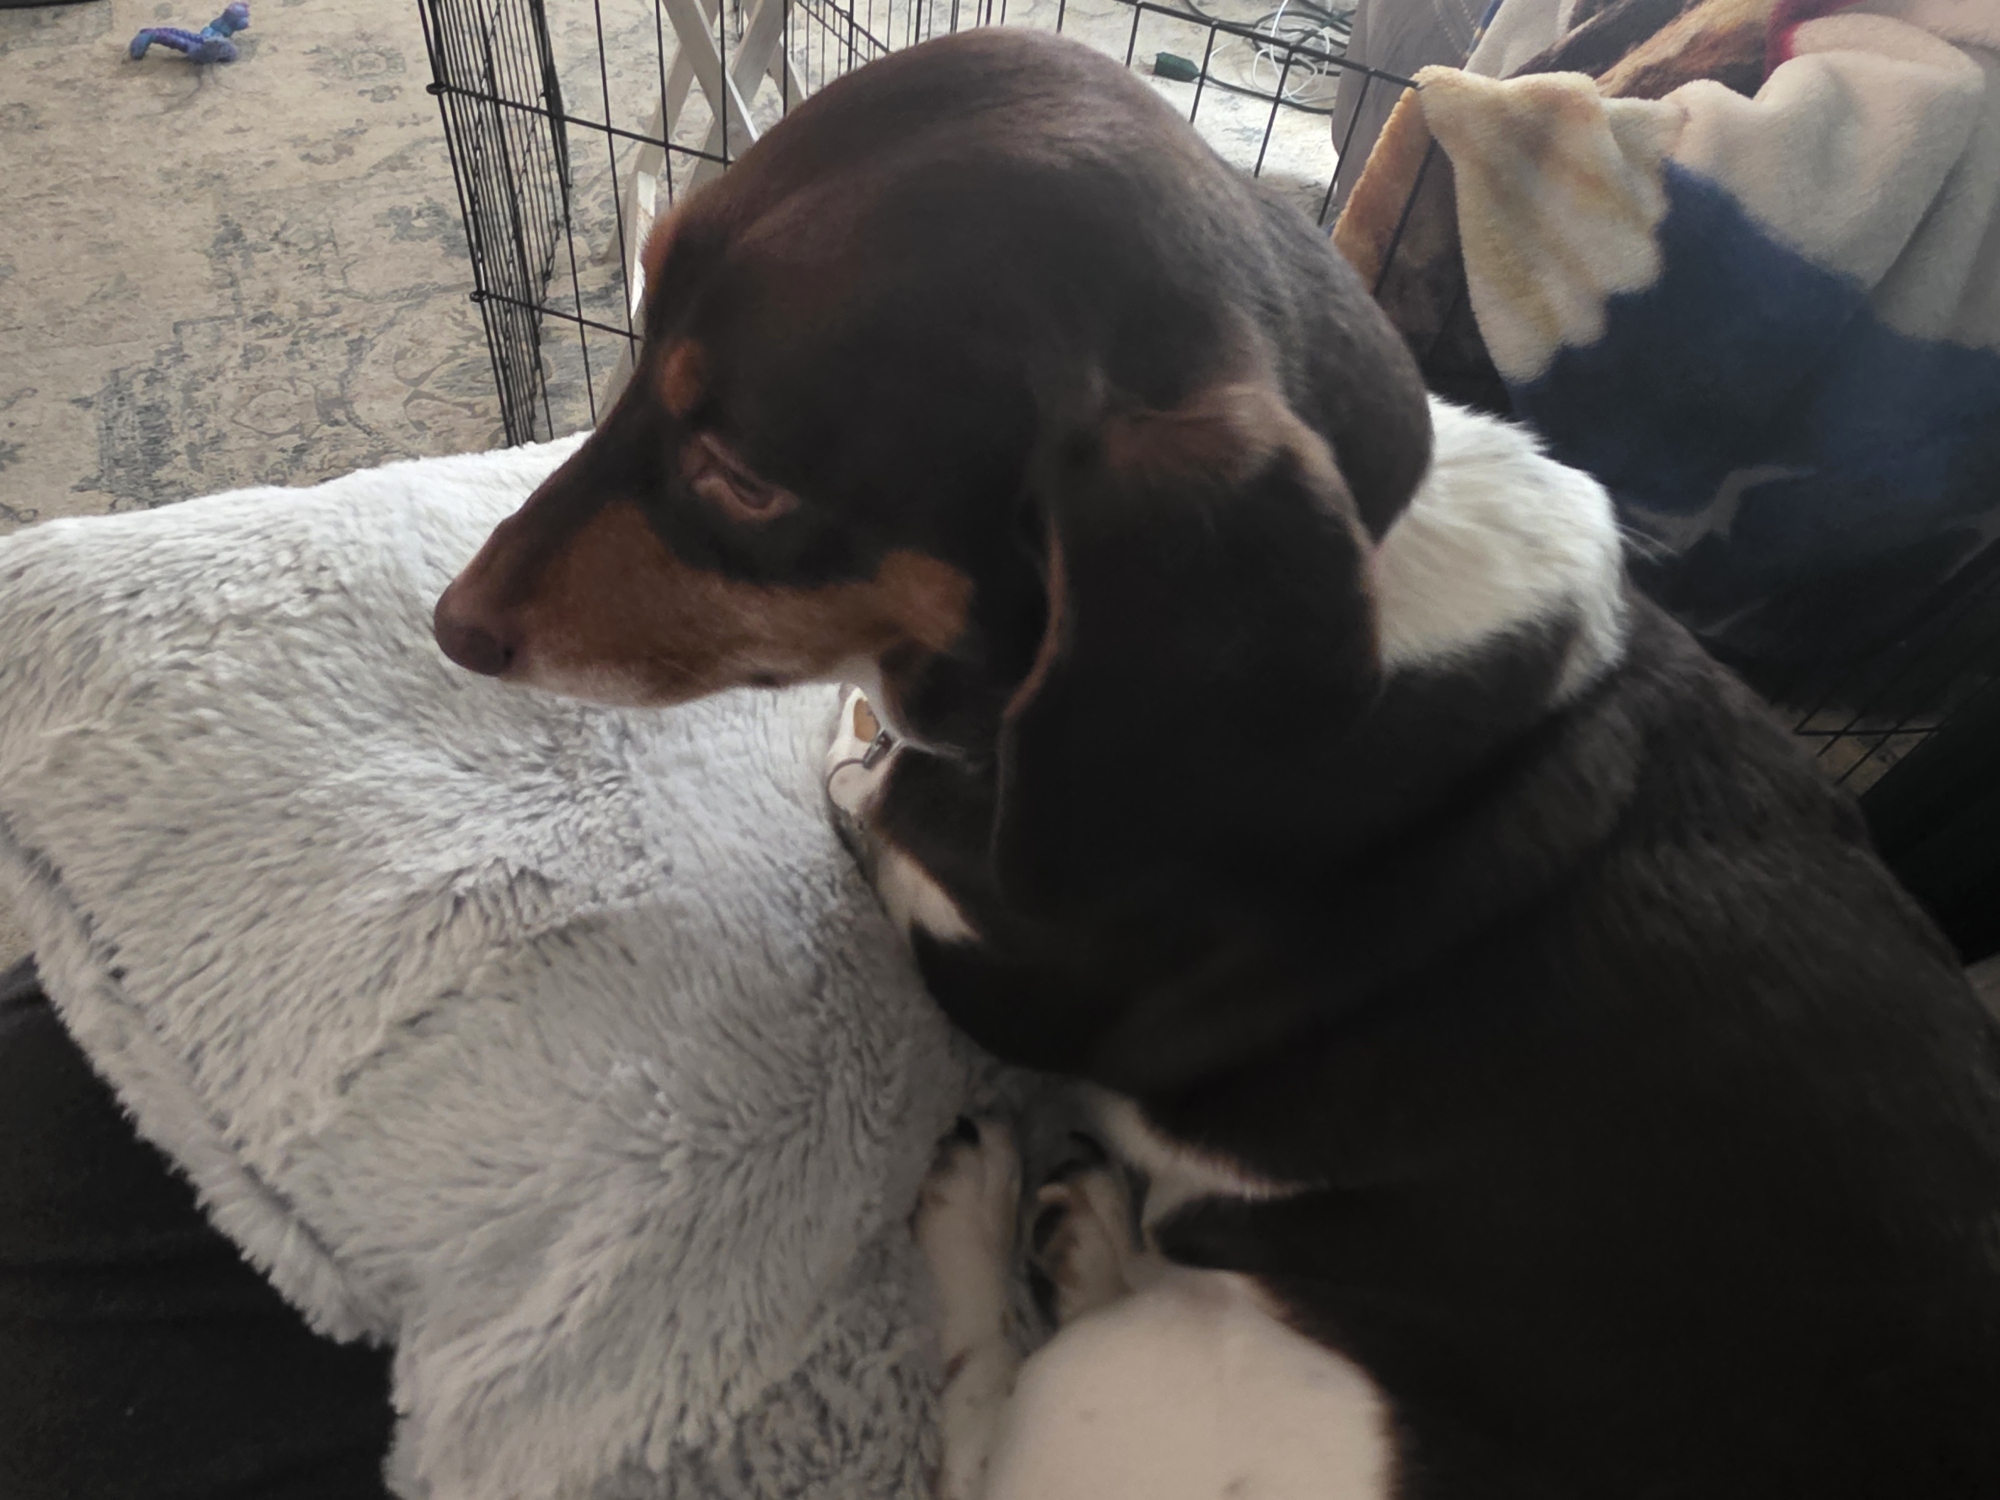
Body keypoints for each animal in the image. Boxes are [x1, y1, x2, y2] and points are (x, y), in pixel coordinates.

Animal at [432, 29, 2000, 1500]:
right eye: (635, 325)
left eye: (746, 480)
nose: (453, 630)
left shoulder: (972, 935)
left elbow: (867, 786)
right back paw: (1092, 1232)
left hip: (1178, 1406)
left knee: (987, 1435)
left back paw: (989, 1215)